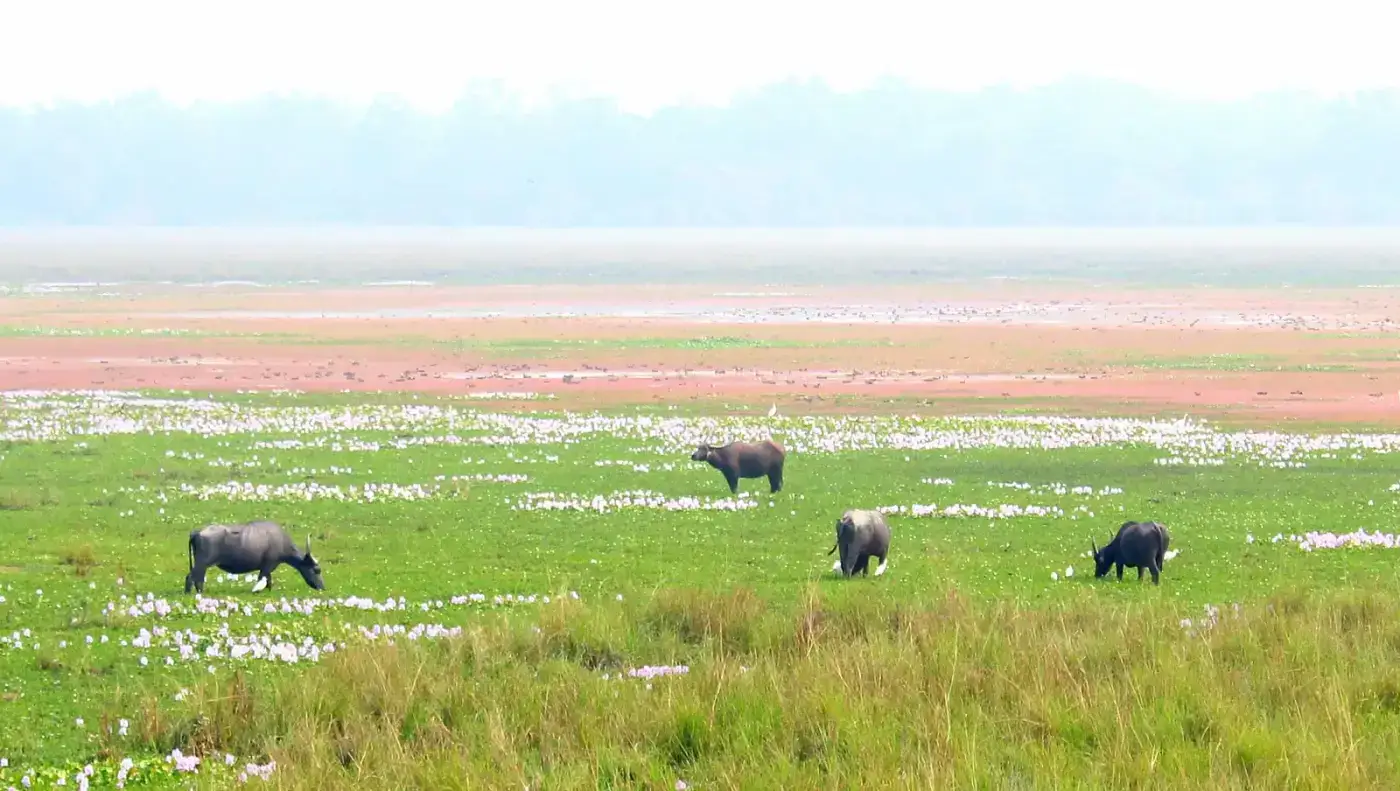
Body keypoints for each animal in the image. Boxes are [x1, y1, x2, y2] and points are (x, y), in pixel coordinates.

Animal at [185, 520, 324, 594]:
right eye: (316, 570)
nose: (322, 587)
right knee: (192, 577)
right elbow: (263, 579)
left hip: (201, 564)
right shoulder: (268, 566)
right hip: (202, 563)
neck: (281, 541)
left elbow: (268, 580)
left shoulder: (267, 568)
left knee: (198, 579)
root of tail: (197, 532)